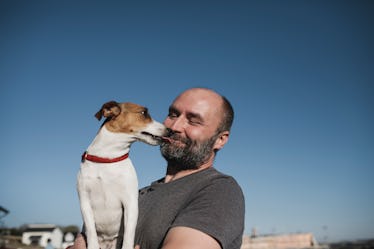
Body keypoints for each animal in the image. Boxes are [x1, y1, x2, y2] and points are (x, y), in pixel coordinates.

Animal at [77, 100, 167, 249]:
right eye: (144, 113)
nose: (171, 131)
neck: (108, 159)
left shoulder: (130, 202)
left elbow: (129, 234)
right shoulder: (85, 201)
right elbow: (90, 230)